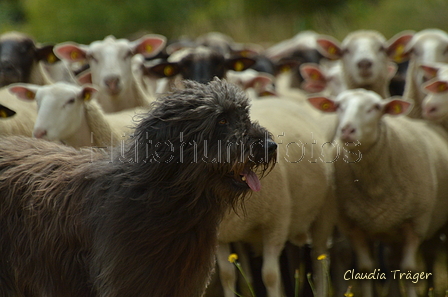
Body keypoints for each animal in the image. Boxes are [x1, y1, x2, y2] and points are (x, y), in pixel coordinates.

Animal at [214, 97, 336, 296]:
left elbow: (270, 276)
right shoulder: (219, 235)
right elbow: (227, 275)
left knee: (320, 260)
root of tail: (278, 98)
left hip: (324, 212)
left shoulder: (276, 223)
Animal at [308, 88, 448, 296]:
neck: (374, 186)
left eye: (375, 107)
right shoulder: (354, 227)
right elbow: (366, 269)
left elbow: (409, 270)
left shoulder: (415, 224)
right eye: (339, 106)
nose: (347, 130)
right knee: (392, 261)